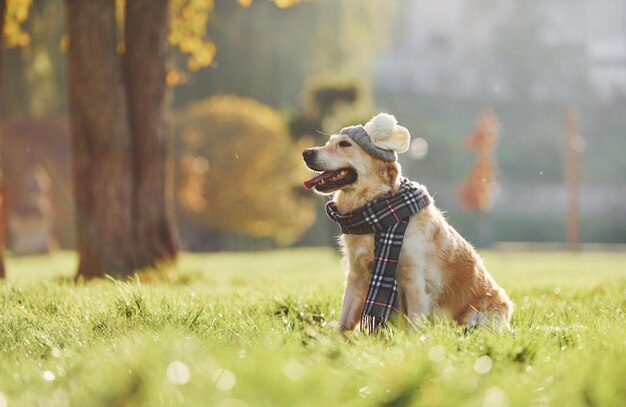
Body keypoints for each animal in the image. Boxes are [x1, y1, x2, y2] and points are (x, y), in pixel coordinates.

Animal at [302, 112, 512, 332]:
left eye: (344, 144)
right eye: (329, 142)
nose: (306, 153)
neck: (375, 211)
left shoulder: (413, 279)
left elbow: (414, 325)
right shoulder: (356, 275)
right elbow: (344, 322)